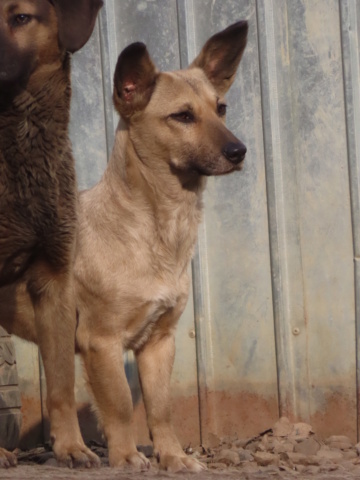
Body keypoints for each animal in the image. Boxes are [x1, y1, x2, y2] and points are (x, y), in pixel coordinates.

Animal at [73, 20, 248, 470]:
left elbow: (161, 407)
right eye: (182, 116)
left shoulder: (159, 343)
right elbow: (119, 403)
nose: (239, 151)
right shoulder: (100, 341)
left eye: (221, 109)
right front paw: (126, 455)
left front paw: (172, 457)